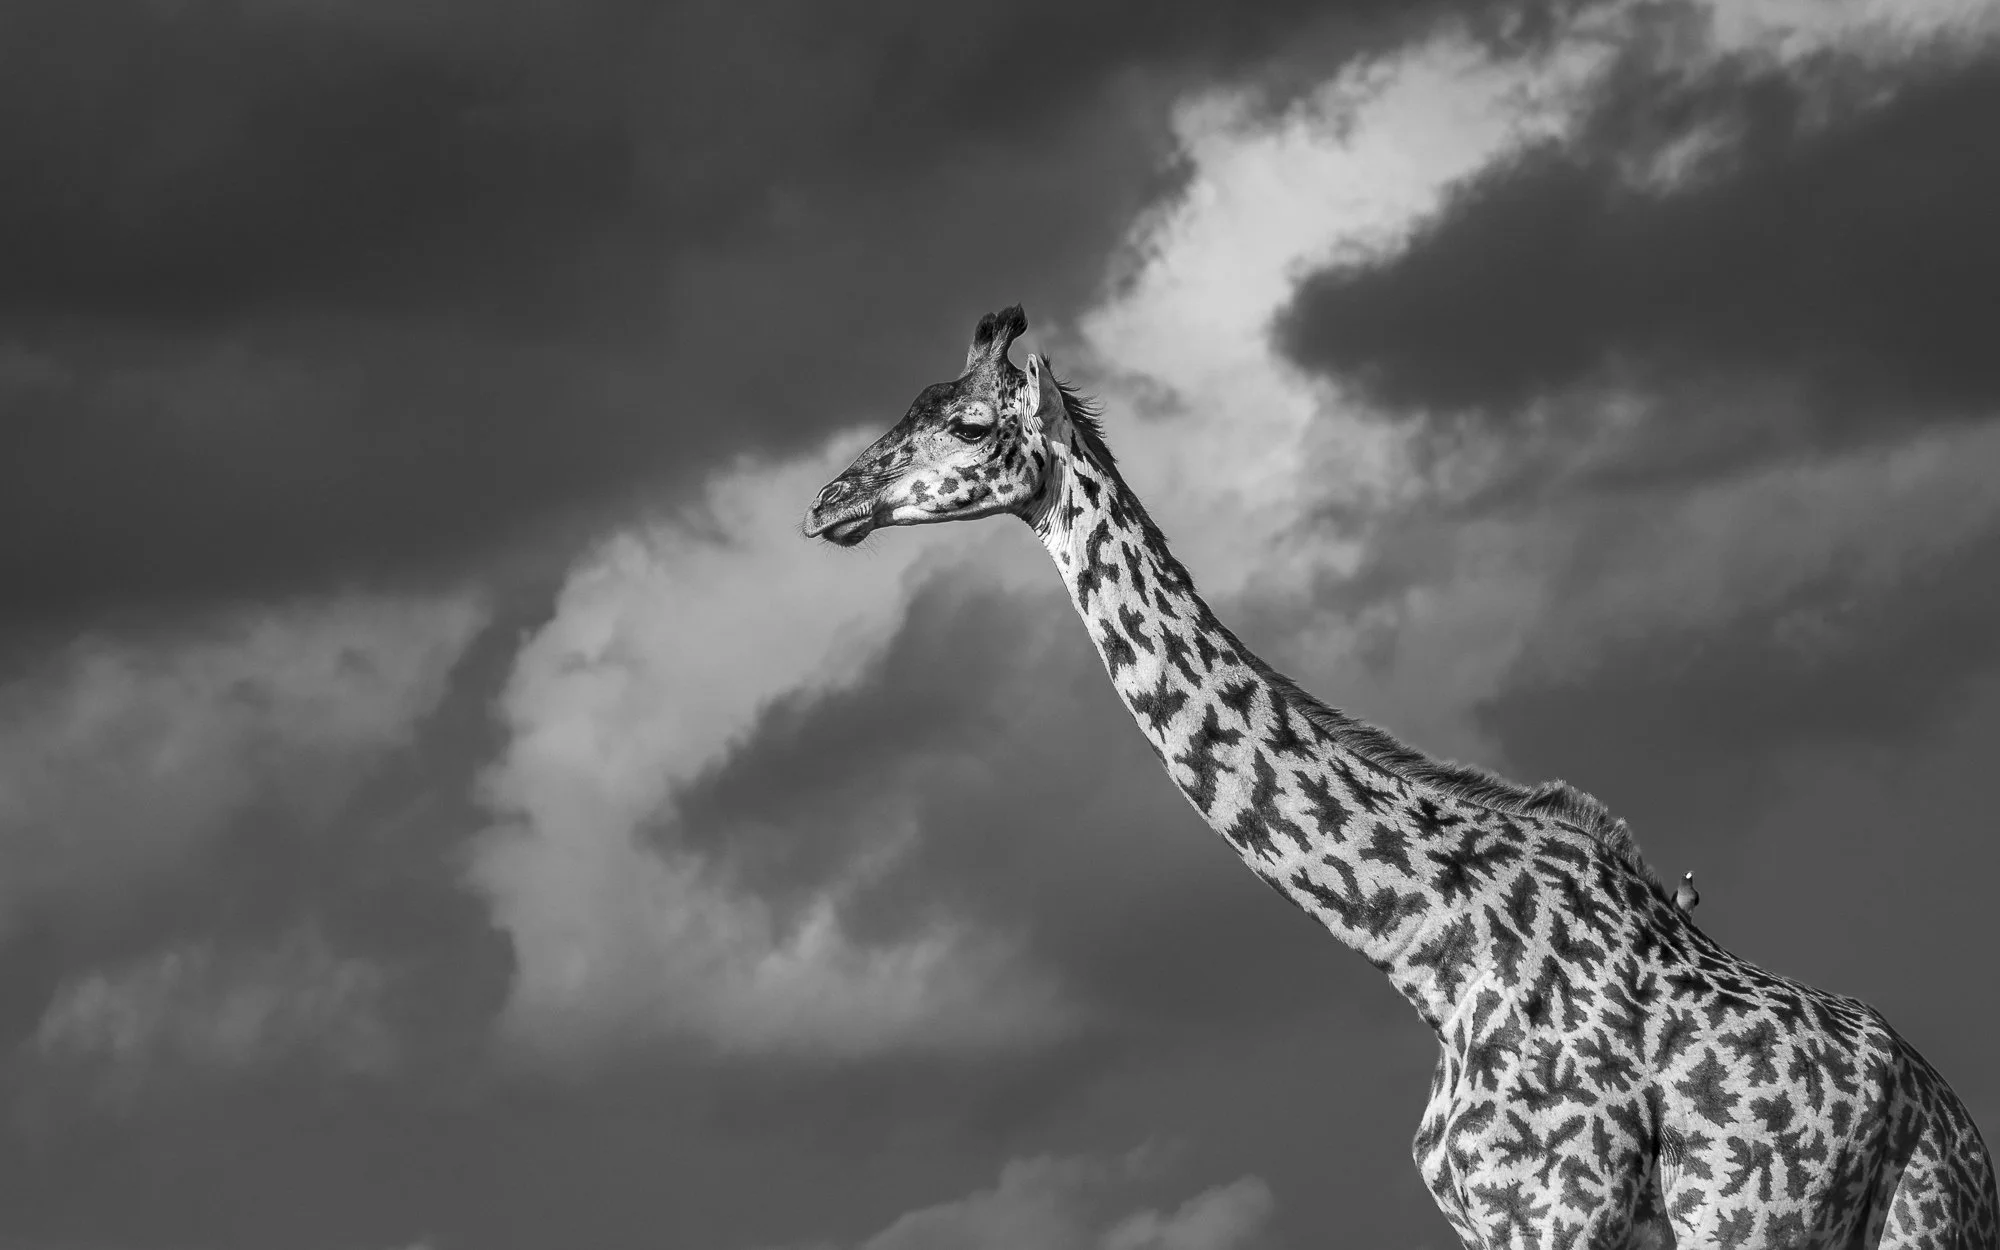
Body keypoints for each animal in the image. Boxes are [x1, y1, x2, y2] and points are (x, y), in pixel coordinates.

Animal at [803, 306, 1998, 1248]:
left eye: (968, 425)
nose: (827, 503)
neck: (1428, 946)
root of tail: (1959, 1127)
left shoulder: (1565, 1208)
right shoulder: (1488, 1220)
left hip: (1919, 1223)